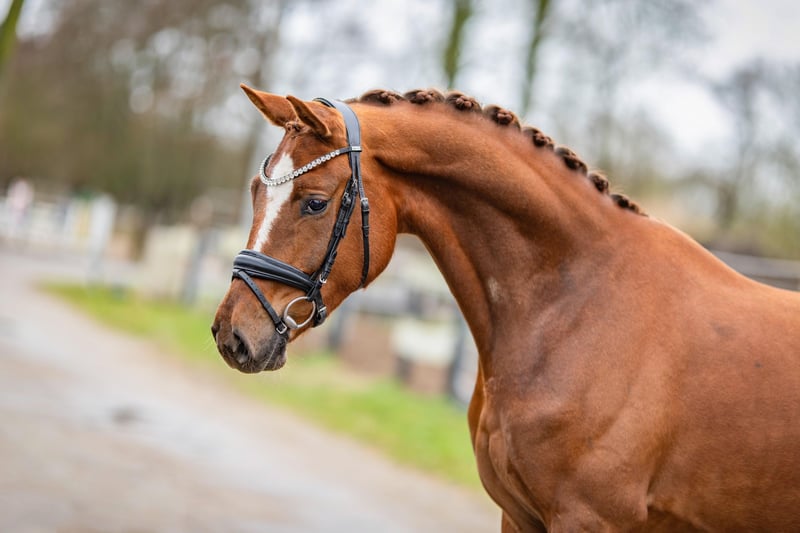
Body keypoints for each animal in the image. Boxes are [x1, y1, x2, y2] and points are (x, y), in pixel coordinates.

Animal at [212, 85, 800, 532]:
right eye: (255, 190)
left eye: (314, 202)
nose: (231, 336)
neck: (576, 303)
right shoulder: (518, 515)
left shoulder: (589, 519)